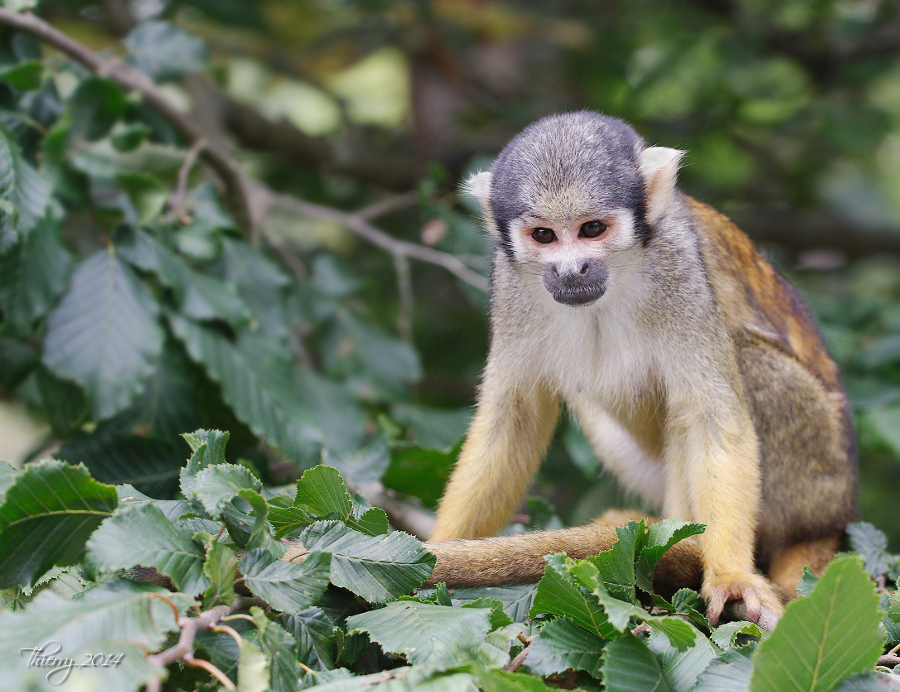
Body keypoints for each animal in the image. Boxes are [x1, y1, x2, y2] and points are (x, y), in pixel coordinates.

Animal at [426, 112, 860, 620]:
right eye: (544, 236)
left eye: (592, 229)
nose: (572, 270)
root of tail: (839, 511)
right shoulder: (509, 283)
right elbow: (513, 421)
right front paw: (435, 551)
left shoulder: (679, 264)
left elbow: (714, 417)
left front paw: (730, 575)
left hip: (815, 476)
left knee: (733, 367)